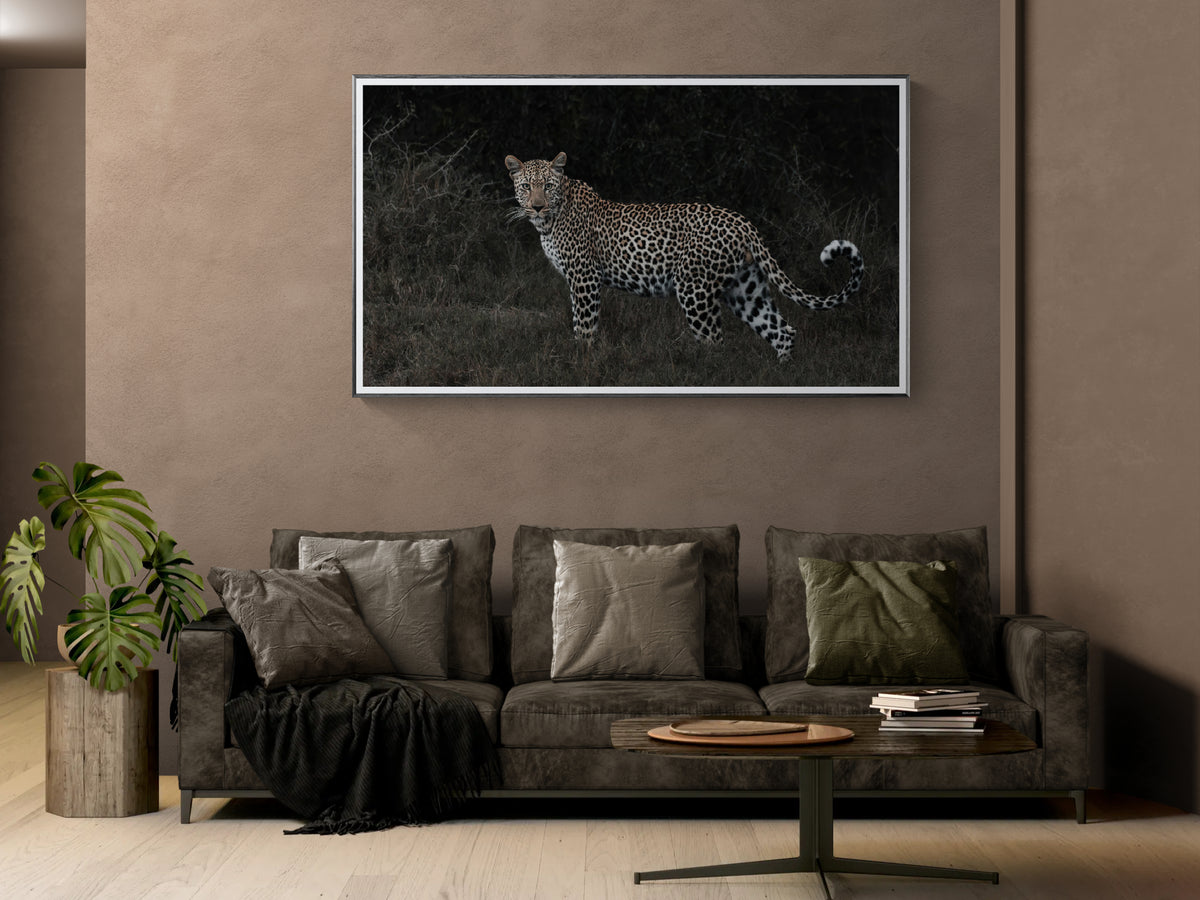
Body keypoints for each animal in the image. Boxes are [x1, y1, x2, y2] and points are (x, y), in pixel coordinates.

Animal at [504, 151, 864, 361]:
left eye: (548, 186)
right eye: (526, 187)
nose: (537, 206)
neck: (550, 220)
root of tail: (742, 221)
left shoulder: (584, 278)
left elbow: (585, 325)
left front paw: (583, 361)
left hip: (695, 289)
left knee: (715, 341)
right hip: (746, 290)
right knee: (782, 331)